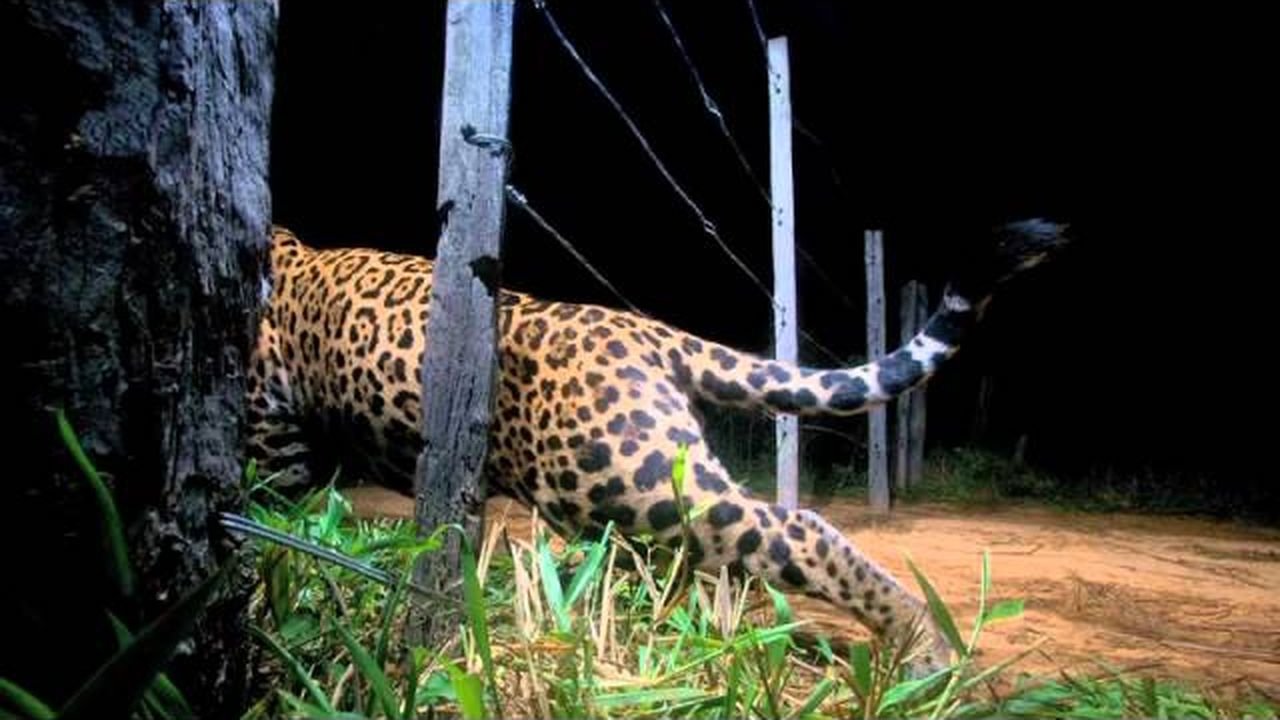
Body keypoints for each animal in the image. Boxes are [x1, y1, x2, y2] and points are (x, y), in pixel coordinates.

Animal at [246, 219, 1068, 674]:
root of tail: (641, 329)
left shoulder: (270, 438)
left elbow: (274, 517)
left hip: (622, 482)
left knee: (792, 527)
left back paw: (925, 649)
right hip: (644, 485)